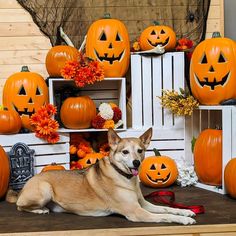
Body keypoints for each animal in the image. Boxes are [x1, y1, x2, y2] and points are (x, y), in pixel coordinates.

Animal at [7, 129, 195, 225]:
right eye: (125, 152)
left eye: (140, 150)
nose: (136, 162)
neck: (125, 178)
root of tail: (25, 186)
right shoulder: (136, 212)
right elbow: (164, 216)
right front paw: (182, 219)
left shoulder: (144, 205)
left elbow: (166, 209)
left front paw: (185, 211)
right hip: (45, 189)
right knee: (20, 206)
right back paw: (40, 209)